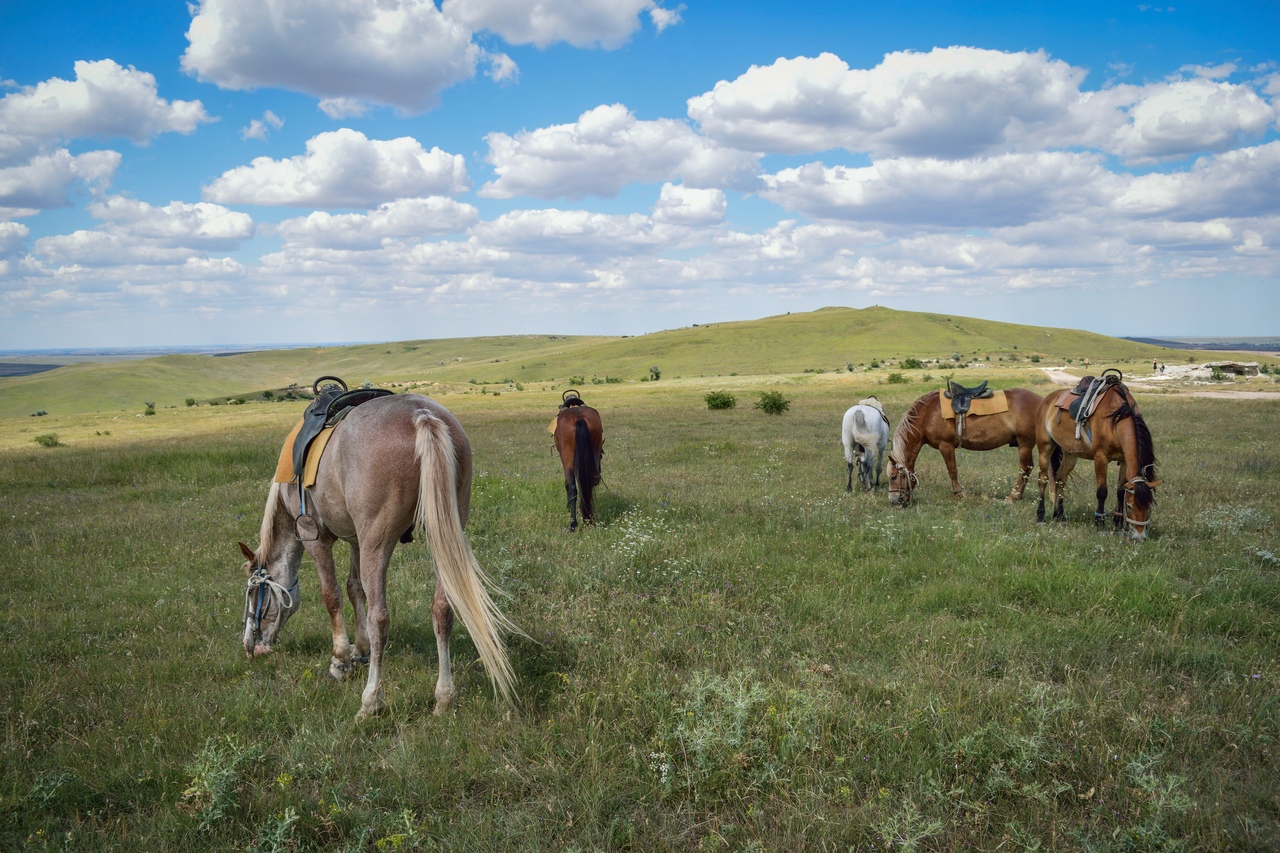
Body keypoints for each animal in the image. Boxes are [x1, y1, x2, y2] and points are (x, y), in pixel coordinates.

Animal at [238, 391, 517, 717]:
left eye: (252, 593)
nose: (250, 645)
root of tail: (421, 415)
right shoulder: (356, 541)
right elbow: (354, 588)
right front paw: (360, 650)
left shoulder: (315, 539)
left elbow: (332, 595)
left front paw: (340, 660)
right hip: (441, 535)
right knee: (442, 610)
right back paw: (444, 697)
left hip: (379, 543)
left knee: (380, 618)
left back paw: (371, 700)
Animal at [552, 389, 606, 527]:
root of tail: (579, 418)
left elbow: (567, 484)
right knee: (588, 484)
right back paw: (588, 517)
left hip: (568, 459)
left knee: (572, 487)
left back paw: (573, 523)